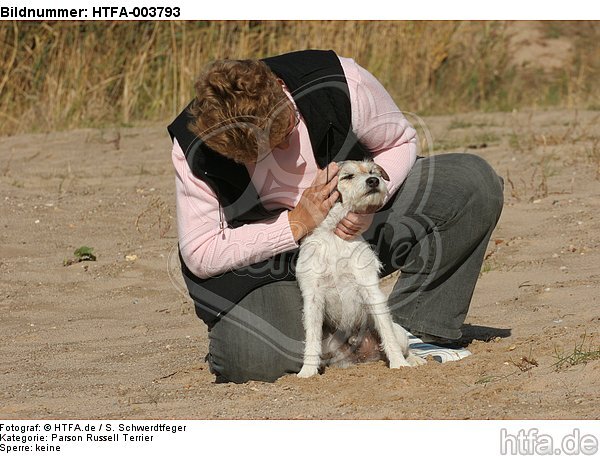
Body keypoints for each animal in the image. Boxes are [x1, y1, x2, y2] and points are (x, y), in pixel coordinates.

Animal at [298, 160, 424, 378]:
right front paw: (307, 372)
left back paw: (413, 360)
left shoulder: (370, 289)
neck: (335, 235)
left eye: (373, 172)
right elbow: (311, 338)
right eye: (348, 176)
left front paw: (399, 364)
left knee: (403, 344)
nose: (373, 180)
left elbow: (387, 333)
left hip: (399, 331)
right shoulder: (313, 297)